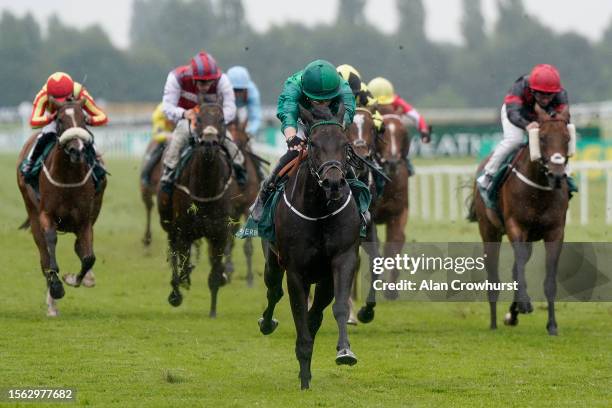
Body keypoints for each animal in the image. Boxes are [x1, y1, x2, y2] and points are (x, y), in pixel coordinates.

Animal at [15, 98, 106, 316]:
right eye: (60, 120)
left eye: (83, 119)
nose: (77, 150)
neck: (68, 177)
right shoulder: (46, 215)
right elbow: (50, 247)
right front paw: (56, 287)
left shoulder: (84, 220)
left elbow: (89, 257)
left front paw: (74, 278)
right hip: (32, 212)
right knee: (44, 257)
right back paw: (52, 303)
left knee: (80, 248)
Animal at [157, 100, 233, 318]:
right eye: (198, 119)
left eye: (221, 119)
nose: (208, 144)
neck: (205, 189)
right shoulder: (183, 230)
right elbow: (181, 261)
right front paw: (180, 286)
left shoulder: (219, 233)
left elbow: (215, 272)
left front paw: (213, 310)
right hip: (170, 225)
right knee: (175, 254)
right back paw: (175, 292)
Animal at [258, 103, 364, 388]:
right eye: (313, 144)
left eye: (345, 143)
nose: (334, 182)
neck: (318, 211)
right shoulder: (296, 271)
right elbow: (299, 315)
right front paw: (304, 377)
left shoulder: (342, 259)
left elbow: (338, 308)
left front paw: (345, 351)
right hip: (272, 261)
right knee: (274, 291)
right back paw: (266, 322)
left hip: (324, 279)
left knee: (316, 314)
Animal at [468, 105, 572, 334]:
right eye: (541, 138)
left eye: (568, 138)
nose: (557, 175)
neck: (538, 189)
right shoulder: (516, 226)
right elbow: (519, 265)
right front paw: (524, 304)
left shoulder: (555, 232)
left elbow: (548, 279)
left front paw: (552, 325)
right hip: (489, 231)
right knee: (494, 277)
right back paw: (494, 322)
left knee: (517, 267)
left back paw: (512, 314)